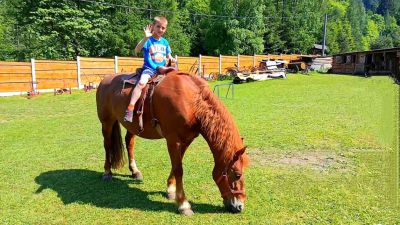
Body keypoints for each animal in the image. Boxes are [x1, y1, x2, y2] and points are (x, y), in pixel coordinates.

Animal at [95, 71, 248, 215]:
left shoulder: (186, 140)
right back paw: (107, 172)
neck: (192, 103)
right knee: (107, 145)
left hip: (132, 126)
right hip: (107, 122)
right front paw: (183, 205)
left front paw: (170, 190)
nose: (240, 207)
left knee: (129, 143)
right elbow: (179, 170)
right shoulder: (173, 140)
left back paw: (135, 171)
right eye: (237, 174)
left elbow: (176, 166)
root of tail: (105, 80)